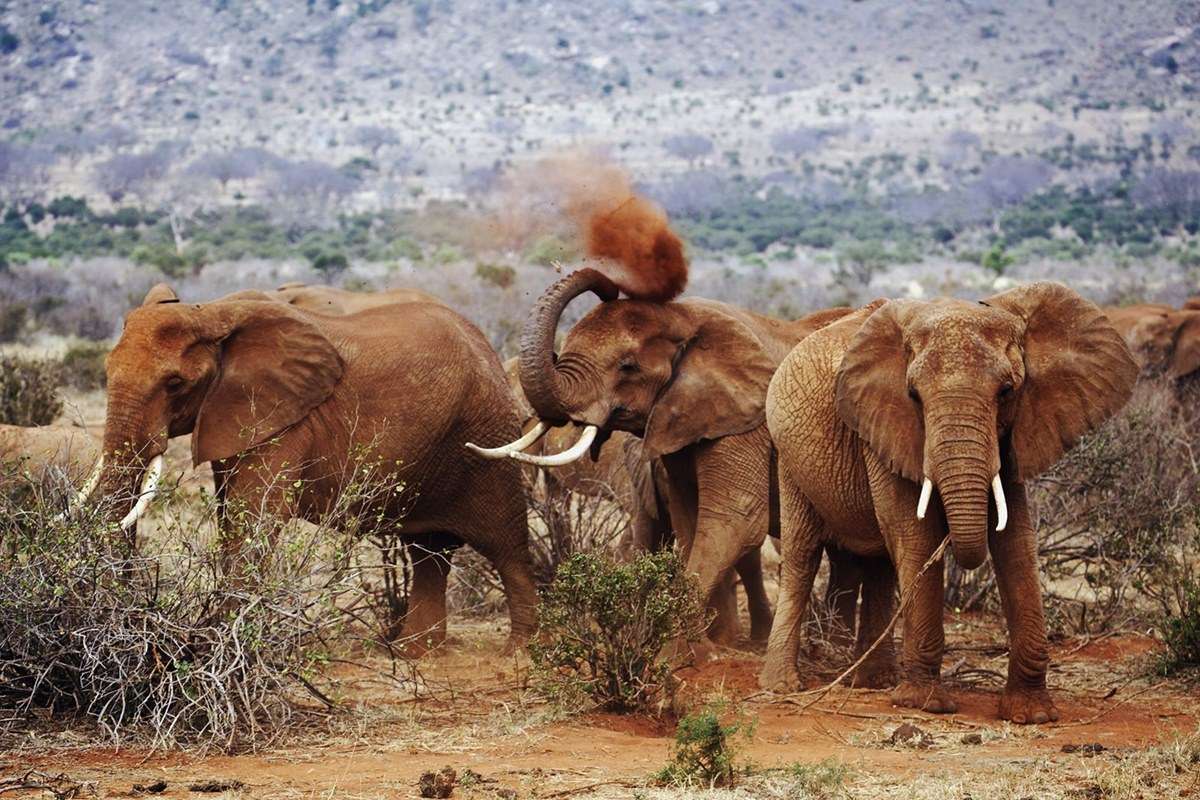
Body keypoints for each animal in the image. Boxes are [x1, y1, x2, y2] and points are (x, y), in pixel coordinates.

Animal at [96, 281, 537, 652]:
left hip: (487, 434)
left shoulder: (288, 421)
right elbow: (230, 520)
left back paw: (521, 653)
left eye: (175, 384)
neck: (213, 311)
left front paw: (219, 646)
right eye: (105, 372)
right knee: (428, 551)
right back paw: (414, 654)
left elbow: (252, 520)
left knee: (507, 545)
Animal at [472, 268, 859, 652]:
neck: (684, 317)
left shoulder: (746, 421)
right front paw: (705, 647)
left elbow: (735, 517)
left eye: (627, 367)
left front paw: (675, 653)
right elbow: (689, 518)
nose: (610, 284)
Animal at [758, 283, 1132, 724]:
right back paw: (783, 686)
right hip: (788, 455)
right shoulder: (885, 424)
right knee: (802, 556)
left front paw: (1031, 714)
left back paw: (873, 682)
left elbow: (1017, 541)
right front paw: (924, 704)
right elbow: (915, 534)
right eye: (913, 396)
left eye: (1007, 391)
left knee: (881, 564)